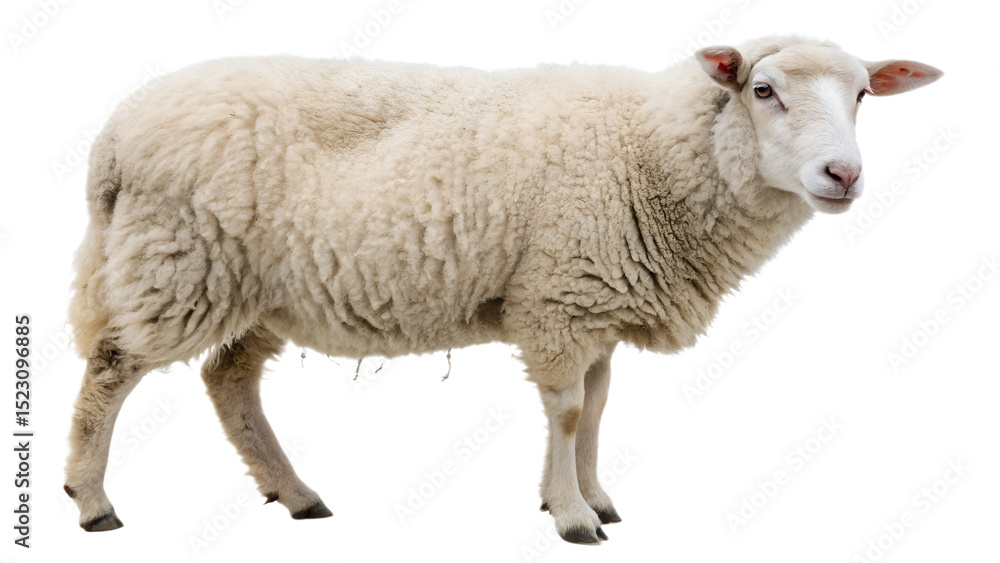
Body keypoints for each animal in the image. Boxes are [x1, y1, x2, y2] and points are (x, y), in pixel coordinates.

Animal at [64, 35, 941, 543]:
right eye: (764, 91)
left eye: (864, 94)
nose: (843, 174)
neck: (653, 153)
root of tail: (113, 138)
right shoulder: (560, 295)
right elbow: (568, 409)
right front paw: (572, 515)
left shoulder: (597, 301)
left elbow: (599, 405)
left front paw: (595, 494)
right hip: (178, 259)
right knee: (110, 367)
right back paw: (90, 499)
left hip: (260, 284)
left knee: (228, 379)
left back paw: (296, 491)